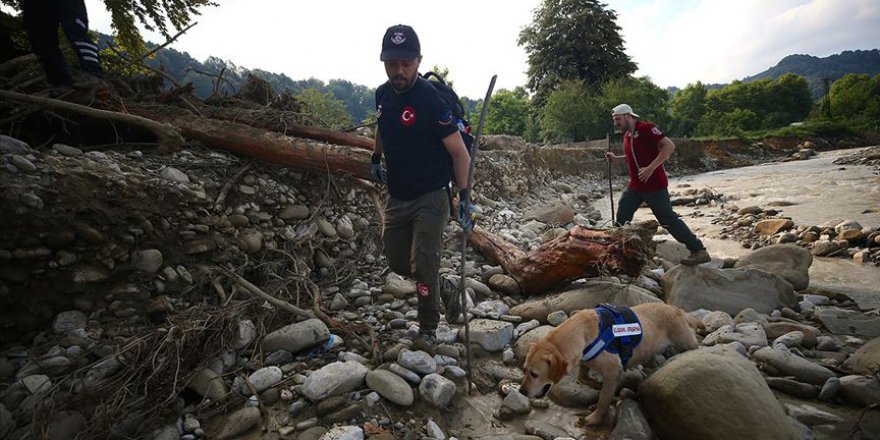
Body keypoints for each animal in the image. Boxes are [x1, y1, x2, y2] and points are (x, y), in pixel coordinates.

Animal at [520, 304, 696, 424]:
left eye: (534, 374)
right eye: (525, 370)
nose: (522, 391)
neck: (583, 333)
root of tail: (676, 309)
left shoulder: (613, 371)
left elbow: (604, 399)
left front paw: (595, 417)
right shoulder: (584, 360)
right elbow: (582, 376)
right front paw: (593, 383)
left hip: (685, 341)